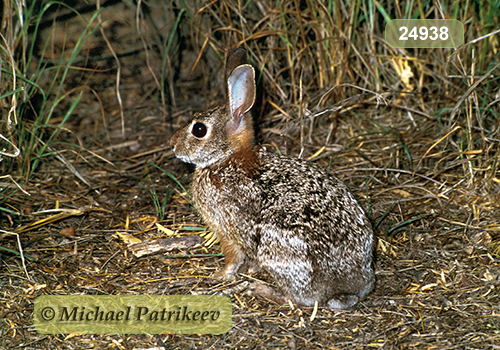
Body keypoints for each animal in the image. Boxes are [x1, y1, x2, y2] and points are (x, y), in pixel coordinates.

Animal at [170, 47, 374, 308]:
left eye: (198, 129)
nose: (173, 145)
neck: (225, 157)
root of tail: (345, 287)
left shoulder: (226, 230)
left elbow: (233, 259)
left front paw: (220, 276)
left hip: (277, 254)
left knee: (296, 300)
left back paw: (259, 289)